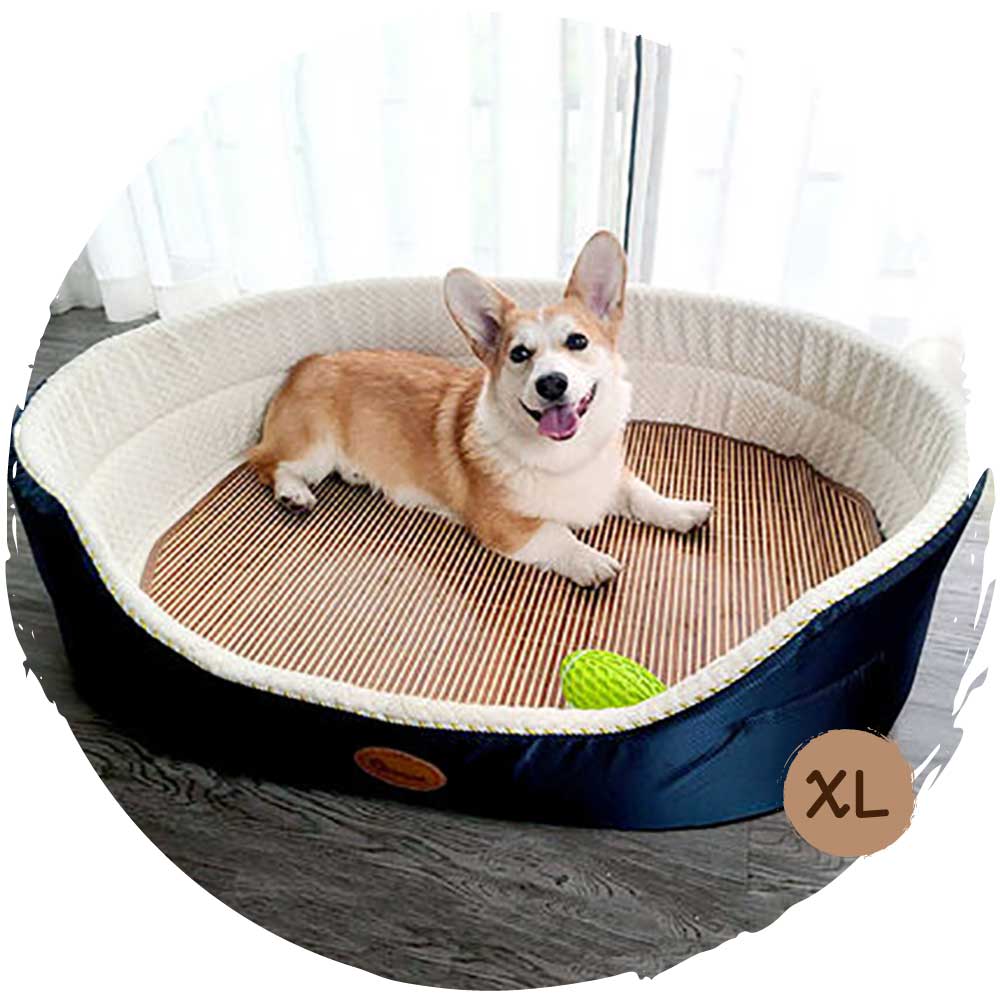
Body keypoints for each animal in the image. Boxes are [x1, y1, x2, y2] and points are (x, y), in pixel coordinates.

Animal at [249, 231, 712, 587]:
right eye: (519, 354)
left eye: (577, 341)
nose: (551, 383)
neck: (563, 456)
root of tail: (308, 362)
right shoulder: (503, 523)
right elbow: (557, 531)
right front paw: (589, 559)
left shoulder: (609, 478)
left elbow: (642, 495)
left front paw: (681, 510)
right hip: (313, 448)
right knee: (267, 461)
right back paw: (293, 493)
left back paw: (358, 473)